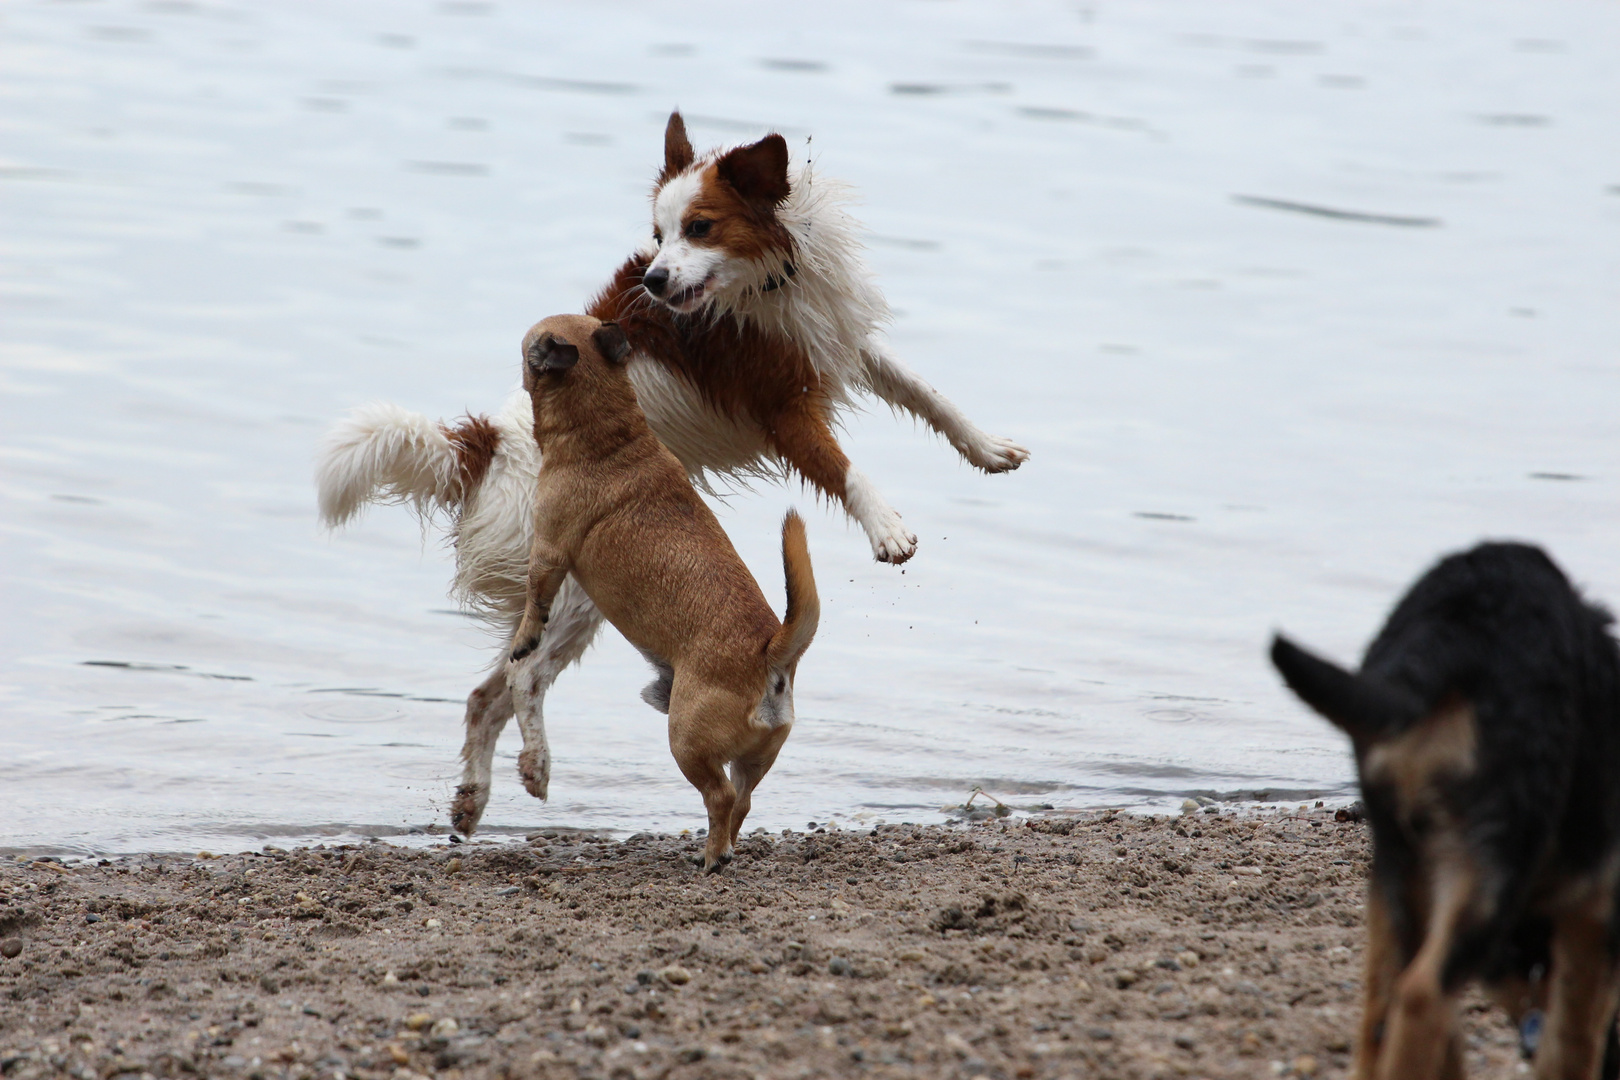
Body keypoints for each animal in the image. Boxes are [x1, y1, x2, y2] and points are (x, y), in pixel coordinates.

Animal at [505, 312, 816, 867]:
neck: (609, 435)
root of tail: (771, 656)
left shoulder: (548, 553)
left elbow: (534, 602)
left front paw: (524, 638)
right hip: (753, 758)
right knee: (742, 801)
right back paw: (725, 848)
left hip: (686, 741)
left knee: (720, 795)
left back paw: (711, 857)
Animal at [1270, 540, 1613, 1080]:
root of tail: (1456, 629)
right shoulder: (1594, 914)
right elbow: (1573, 1042)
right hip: (1486, 870)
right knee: (1421, 997)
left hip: (1401, 866)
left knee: (1385, 1010)